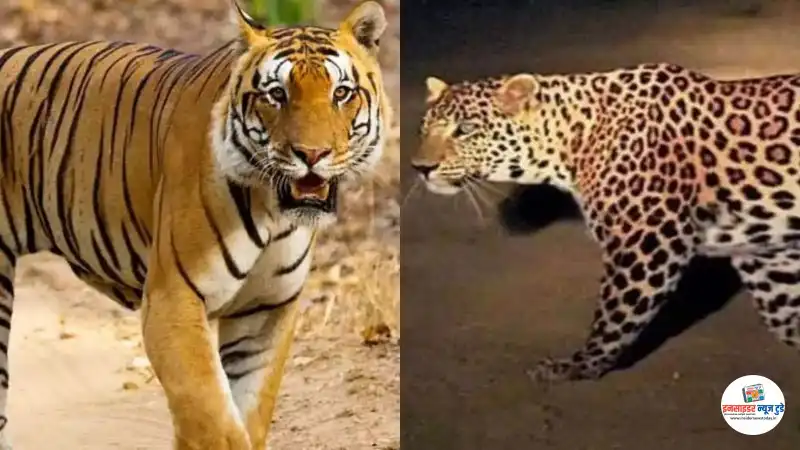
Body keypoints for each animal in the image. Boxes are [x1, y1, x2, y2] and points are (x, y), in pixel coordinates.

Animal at [0, 1, 390, 448]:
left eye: (341, 93)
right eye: (277, 94)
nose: (312, 154)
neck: (273, 212)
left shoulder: (265, 311)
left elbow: (246, 413)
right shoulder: (173, 299)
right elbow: (213, 417)